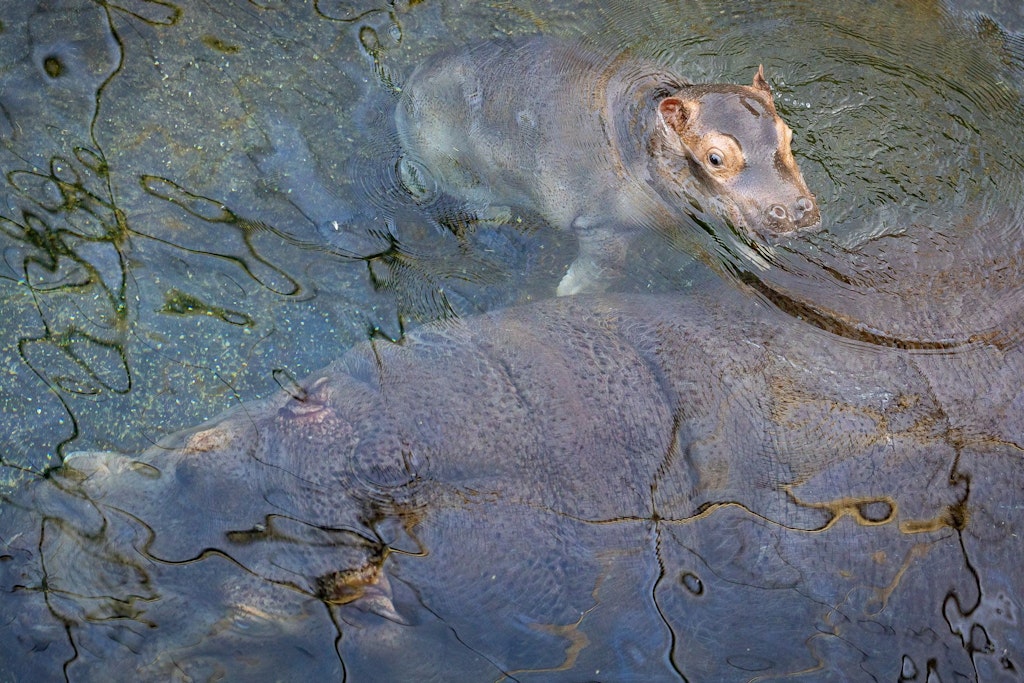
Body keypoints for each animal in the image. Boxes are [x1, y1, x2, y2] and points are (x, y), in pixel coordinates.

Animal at [395, 37, 820, 295]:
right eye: (715, 158)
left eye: (788, 134)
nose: (798, 210)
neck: (648, 132)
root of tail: (410, 83)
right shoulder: (603, 224)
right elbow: (602, 269)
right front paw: (568, 293)